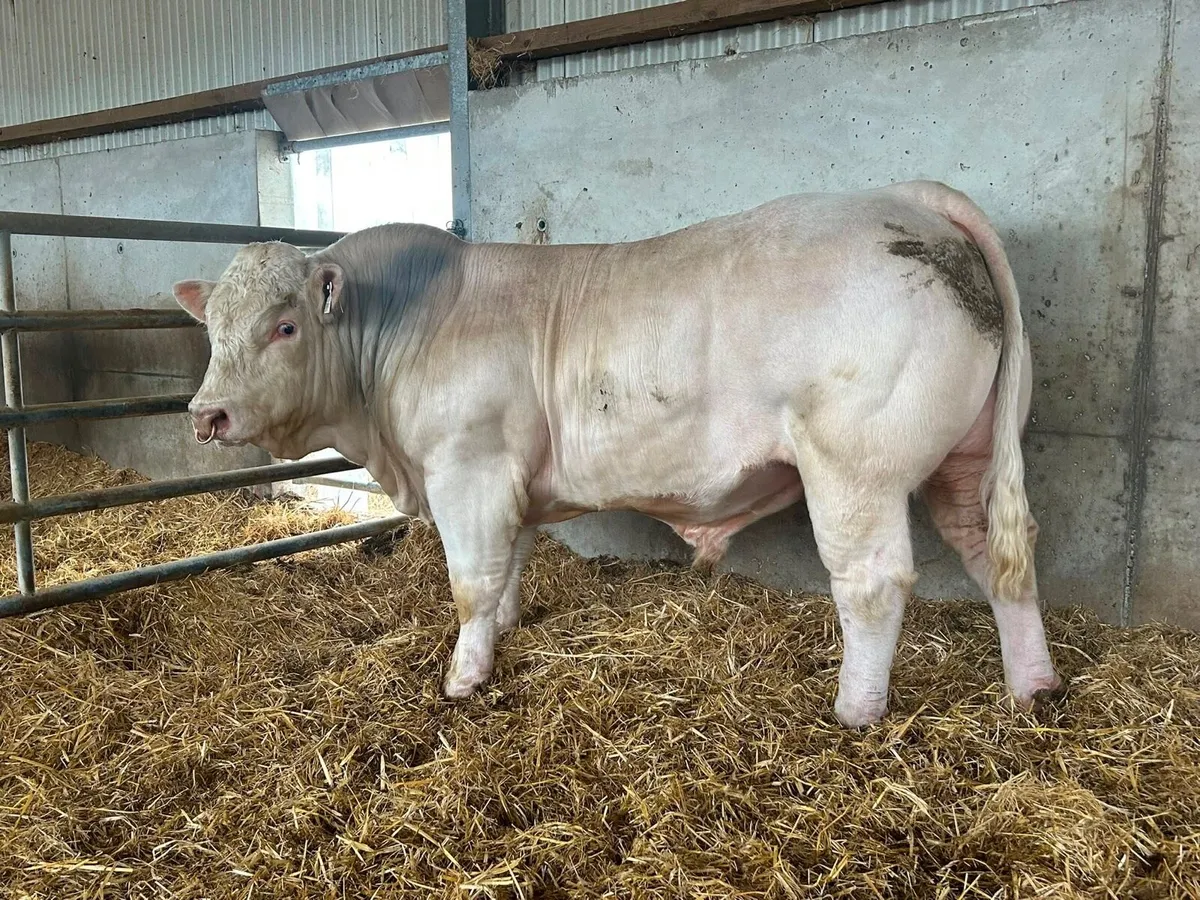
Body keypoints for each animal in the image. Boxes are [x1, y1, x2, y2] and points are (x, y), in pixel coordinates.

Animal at [172, 179, 1064, 727]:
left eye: (285, 326)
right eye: (211, 326)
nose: (206, 414)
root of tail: (906, 197)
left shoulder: (468, 467)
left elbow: (471, 583)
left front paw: (463, 677)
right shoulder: (511, 479)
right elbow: (511, 566)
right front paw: (505, 631)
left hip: (855, 466)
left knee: (873, 583)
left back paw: (856, 709)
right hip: (967, 461)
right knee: (999, 560)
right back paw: (1032, 687)